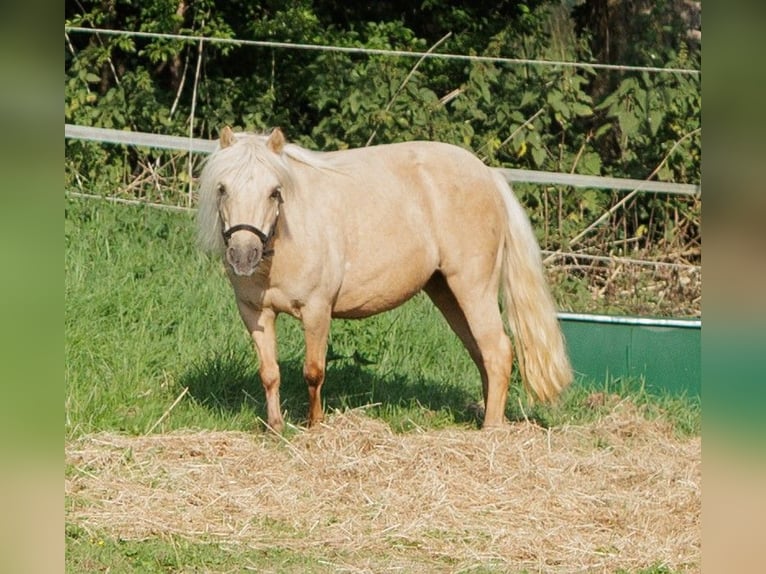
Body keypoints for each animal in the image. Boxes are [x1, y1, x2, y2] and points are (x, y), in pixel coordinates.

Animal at [197, 126, 572, 432]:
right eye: (222, 189)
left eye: (275, 191)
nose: (243, 255)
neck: (286, 237)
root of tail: (489, 174)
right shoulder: (254, 313)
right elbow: (270, 372)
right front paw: (275, 426)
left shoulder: (317, 310)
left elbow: (313, 372)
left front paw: (314, 425)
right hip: (447, 294)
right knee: (484, 354)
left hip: (473, 288)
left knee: (498, 351)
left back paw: (491, 429)